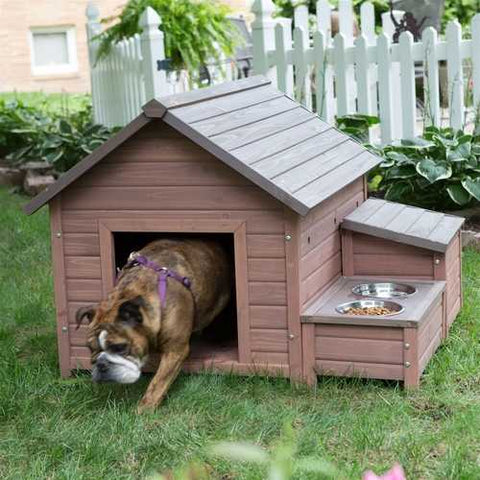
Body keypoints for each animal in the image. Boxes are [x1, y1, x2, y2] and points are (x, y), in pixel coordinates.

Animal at [75, 240, 232, 412]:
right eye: (90, 348)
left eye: (120, 347)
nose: (101, 364)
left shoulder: (175, 351)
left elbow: (157, 383)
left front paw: (143, 409)